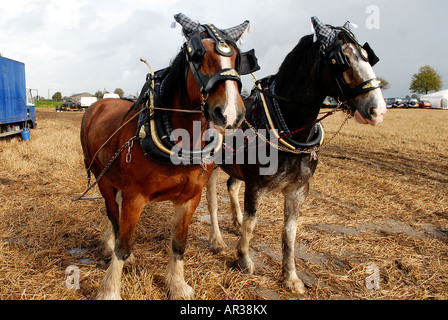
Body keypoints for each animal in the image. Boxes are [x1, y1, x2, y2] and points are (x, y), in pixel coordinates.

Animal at [80, 13, 256, 300]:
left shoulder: (190, 198)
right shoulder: (135, 196)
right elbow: (124, 244)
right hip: (102, 178)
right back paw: (111, 245)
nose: (230, 113)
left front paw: (177, 284)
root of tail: (99, 104)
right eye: (197, 55)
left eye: (237, 58)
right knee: (113, 215)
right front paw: (110, 289)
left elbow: (179, 243)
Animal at [206, 16, 384, 294]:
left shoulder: (298, 190)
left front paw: (290, 277)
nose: (378, 109)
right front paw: (243, 259)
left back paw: (234, 223)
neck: (287, 124)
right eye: (339, 60)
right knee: (212, 202)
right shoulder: (255, 185)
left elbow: (289, 233)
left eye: (368, 57)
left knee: (232, 186)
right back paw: (217, 240)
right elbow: (251, 223)